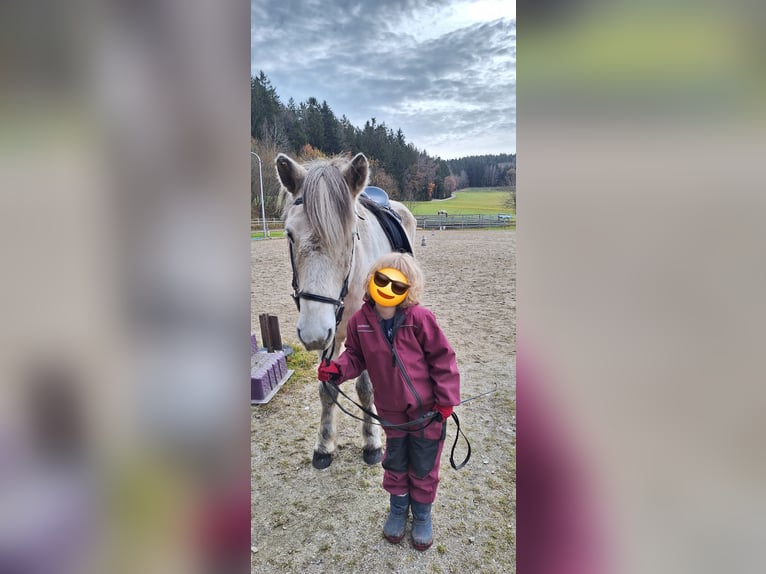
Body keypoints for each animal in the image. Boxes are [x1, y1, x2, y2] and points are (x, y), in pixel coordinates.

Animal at [276, 152, 417, 469]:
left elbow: (366, 389)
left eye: (351, 235)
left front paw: (372, 442)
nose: (313, 332)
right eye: (289, 235)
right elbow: (326, 389)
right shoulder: (328, 337)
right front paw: (324, 445)